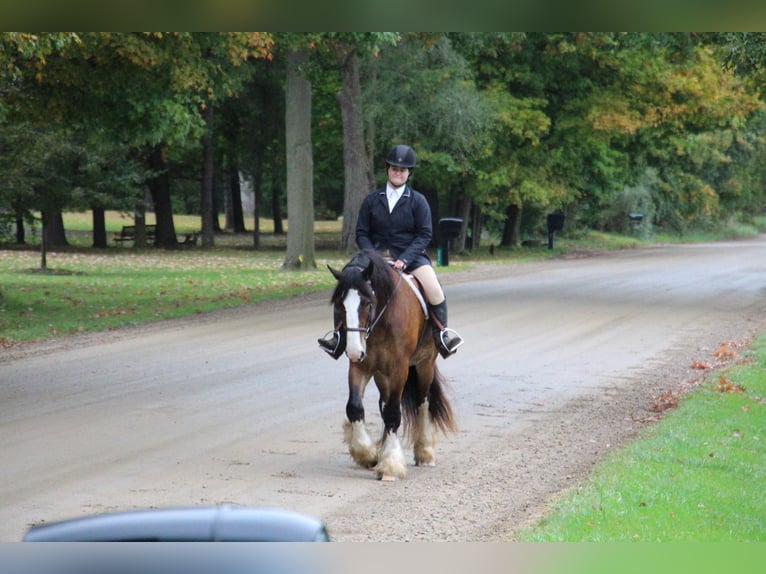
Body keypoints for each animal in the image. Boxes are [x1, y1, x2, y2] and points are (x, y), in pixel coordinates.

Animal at [328, 251, 460, 482]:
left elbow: (393, 412)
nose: (353, 350)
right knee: (385, 403)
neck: (380, 322)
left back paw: (425, 452)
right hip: (382, 375)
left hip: (424, 364)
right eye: (338, 304)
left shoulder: (399, 369)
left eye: (367, 303)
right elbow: (355, 407)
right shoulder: (360, 366)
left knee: (422, 402)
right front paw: (368, 454)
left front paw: (389, 465)